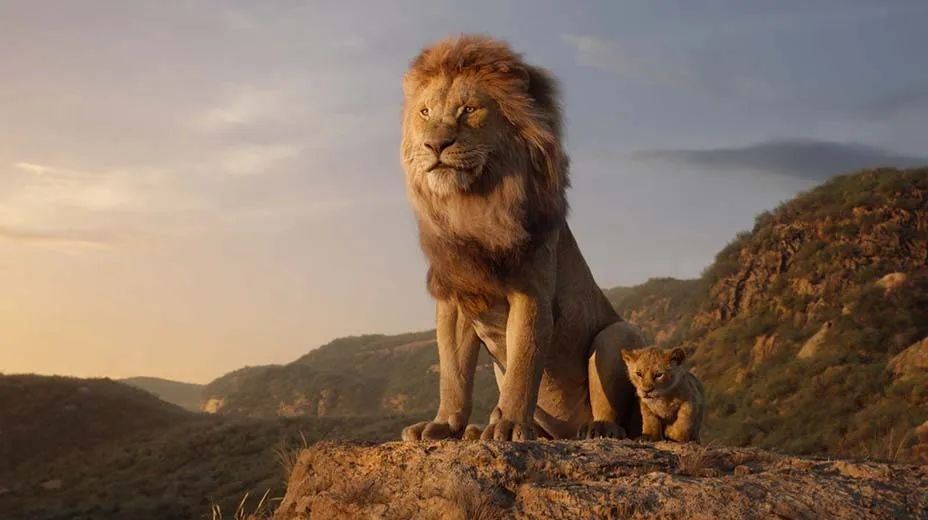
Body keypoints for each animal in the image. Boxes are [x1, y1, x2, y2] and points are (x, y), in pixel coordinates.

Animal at [399, 35, 646, 441]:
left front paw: (510, 425)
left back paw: (597, 429)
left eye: (469, 109)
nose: (435, 145)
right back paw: (479, 429)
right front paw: (444, 425)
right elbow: (453, 374)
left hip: (618, 335)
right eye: (425, 112)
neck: (472, 205)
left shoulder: (531, 293)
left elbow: (523, 366)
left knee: (618, 412)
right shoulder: (455, 299)